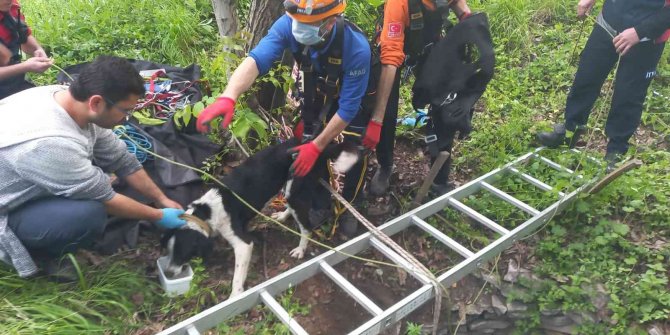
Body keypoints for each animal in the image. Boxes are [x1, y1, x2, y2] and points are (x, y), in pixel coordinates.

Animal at [162, 138, 360, 298]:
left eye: (182, 253)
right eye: (169, 251)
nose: (168, 273)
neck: (207, 211)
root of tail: (315, 145)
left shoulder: (243, 245)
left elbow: (237, 277)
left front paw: (235, 296)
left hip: (297, 190)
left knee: (306, 227)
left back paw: (300, 249)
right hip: (289, 190)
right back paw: (283, 215)